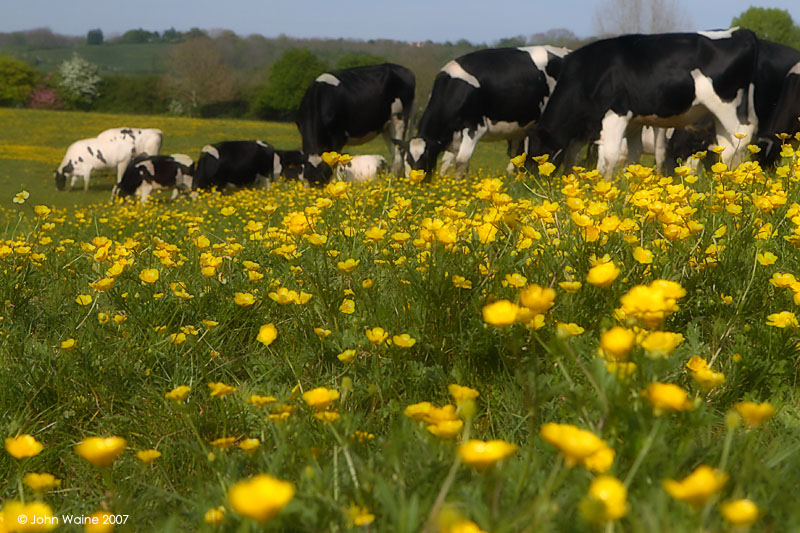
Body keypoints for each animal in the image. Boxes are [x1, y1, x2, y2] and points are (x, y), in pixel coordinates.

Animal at [398, 46, 572, 179]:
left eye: (424, 158)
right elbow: (448, 161)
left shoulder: (474, 126)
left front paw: (459, 184)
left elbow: (461, 160)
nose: (414, 182)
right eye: (407, 160)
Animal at [524, 28, 764, 179]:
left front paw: (603, 189)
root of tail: (742, 32)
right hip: (718, 113)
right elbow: (633, 156)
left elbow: (609, 155)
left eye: (535, 149)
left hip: (726, 105)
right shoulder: (632, 122)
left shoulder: (616, 113)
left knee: (741, 138)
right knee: (726, 144)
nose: (529, 176)